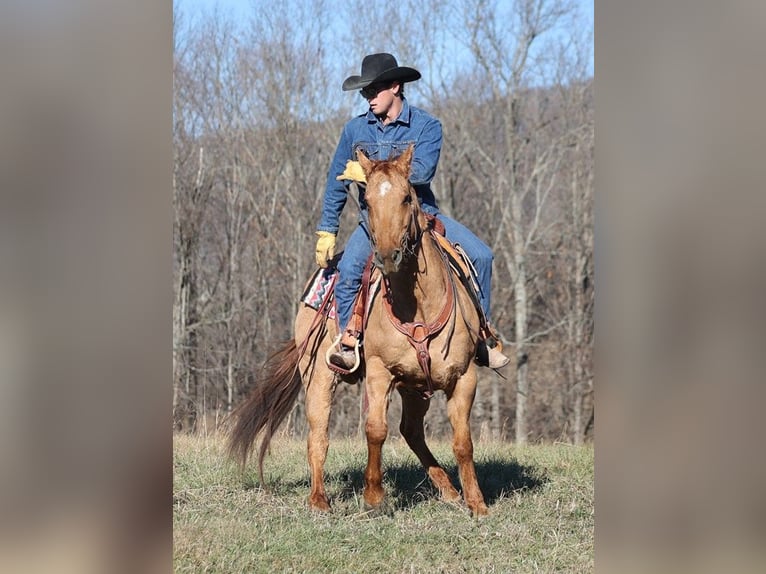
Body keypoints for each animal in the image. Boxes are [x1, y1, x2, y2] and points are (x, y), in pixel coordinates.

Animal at [230, 144, 492, 516]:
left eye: (407, 197)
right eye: (366, 201)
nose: (388, 255)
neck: (418, 307)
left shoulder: (464, 376)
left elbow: (462, 443)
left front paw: (477, 503)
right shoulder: (380, 372)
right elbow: (376, 430)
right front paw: (374, 497)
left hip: (415, 388)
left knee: (412, 431)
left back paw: (449, 490)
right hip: (318, 377)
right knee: (318, 435)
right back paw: (319, 500)